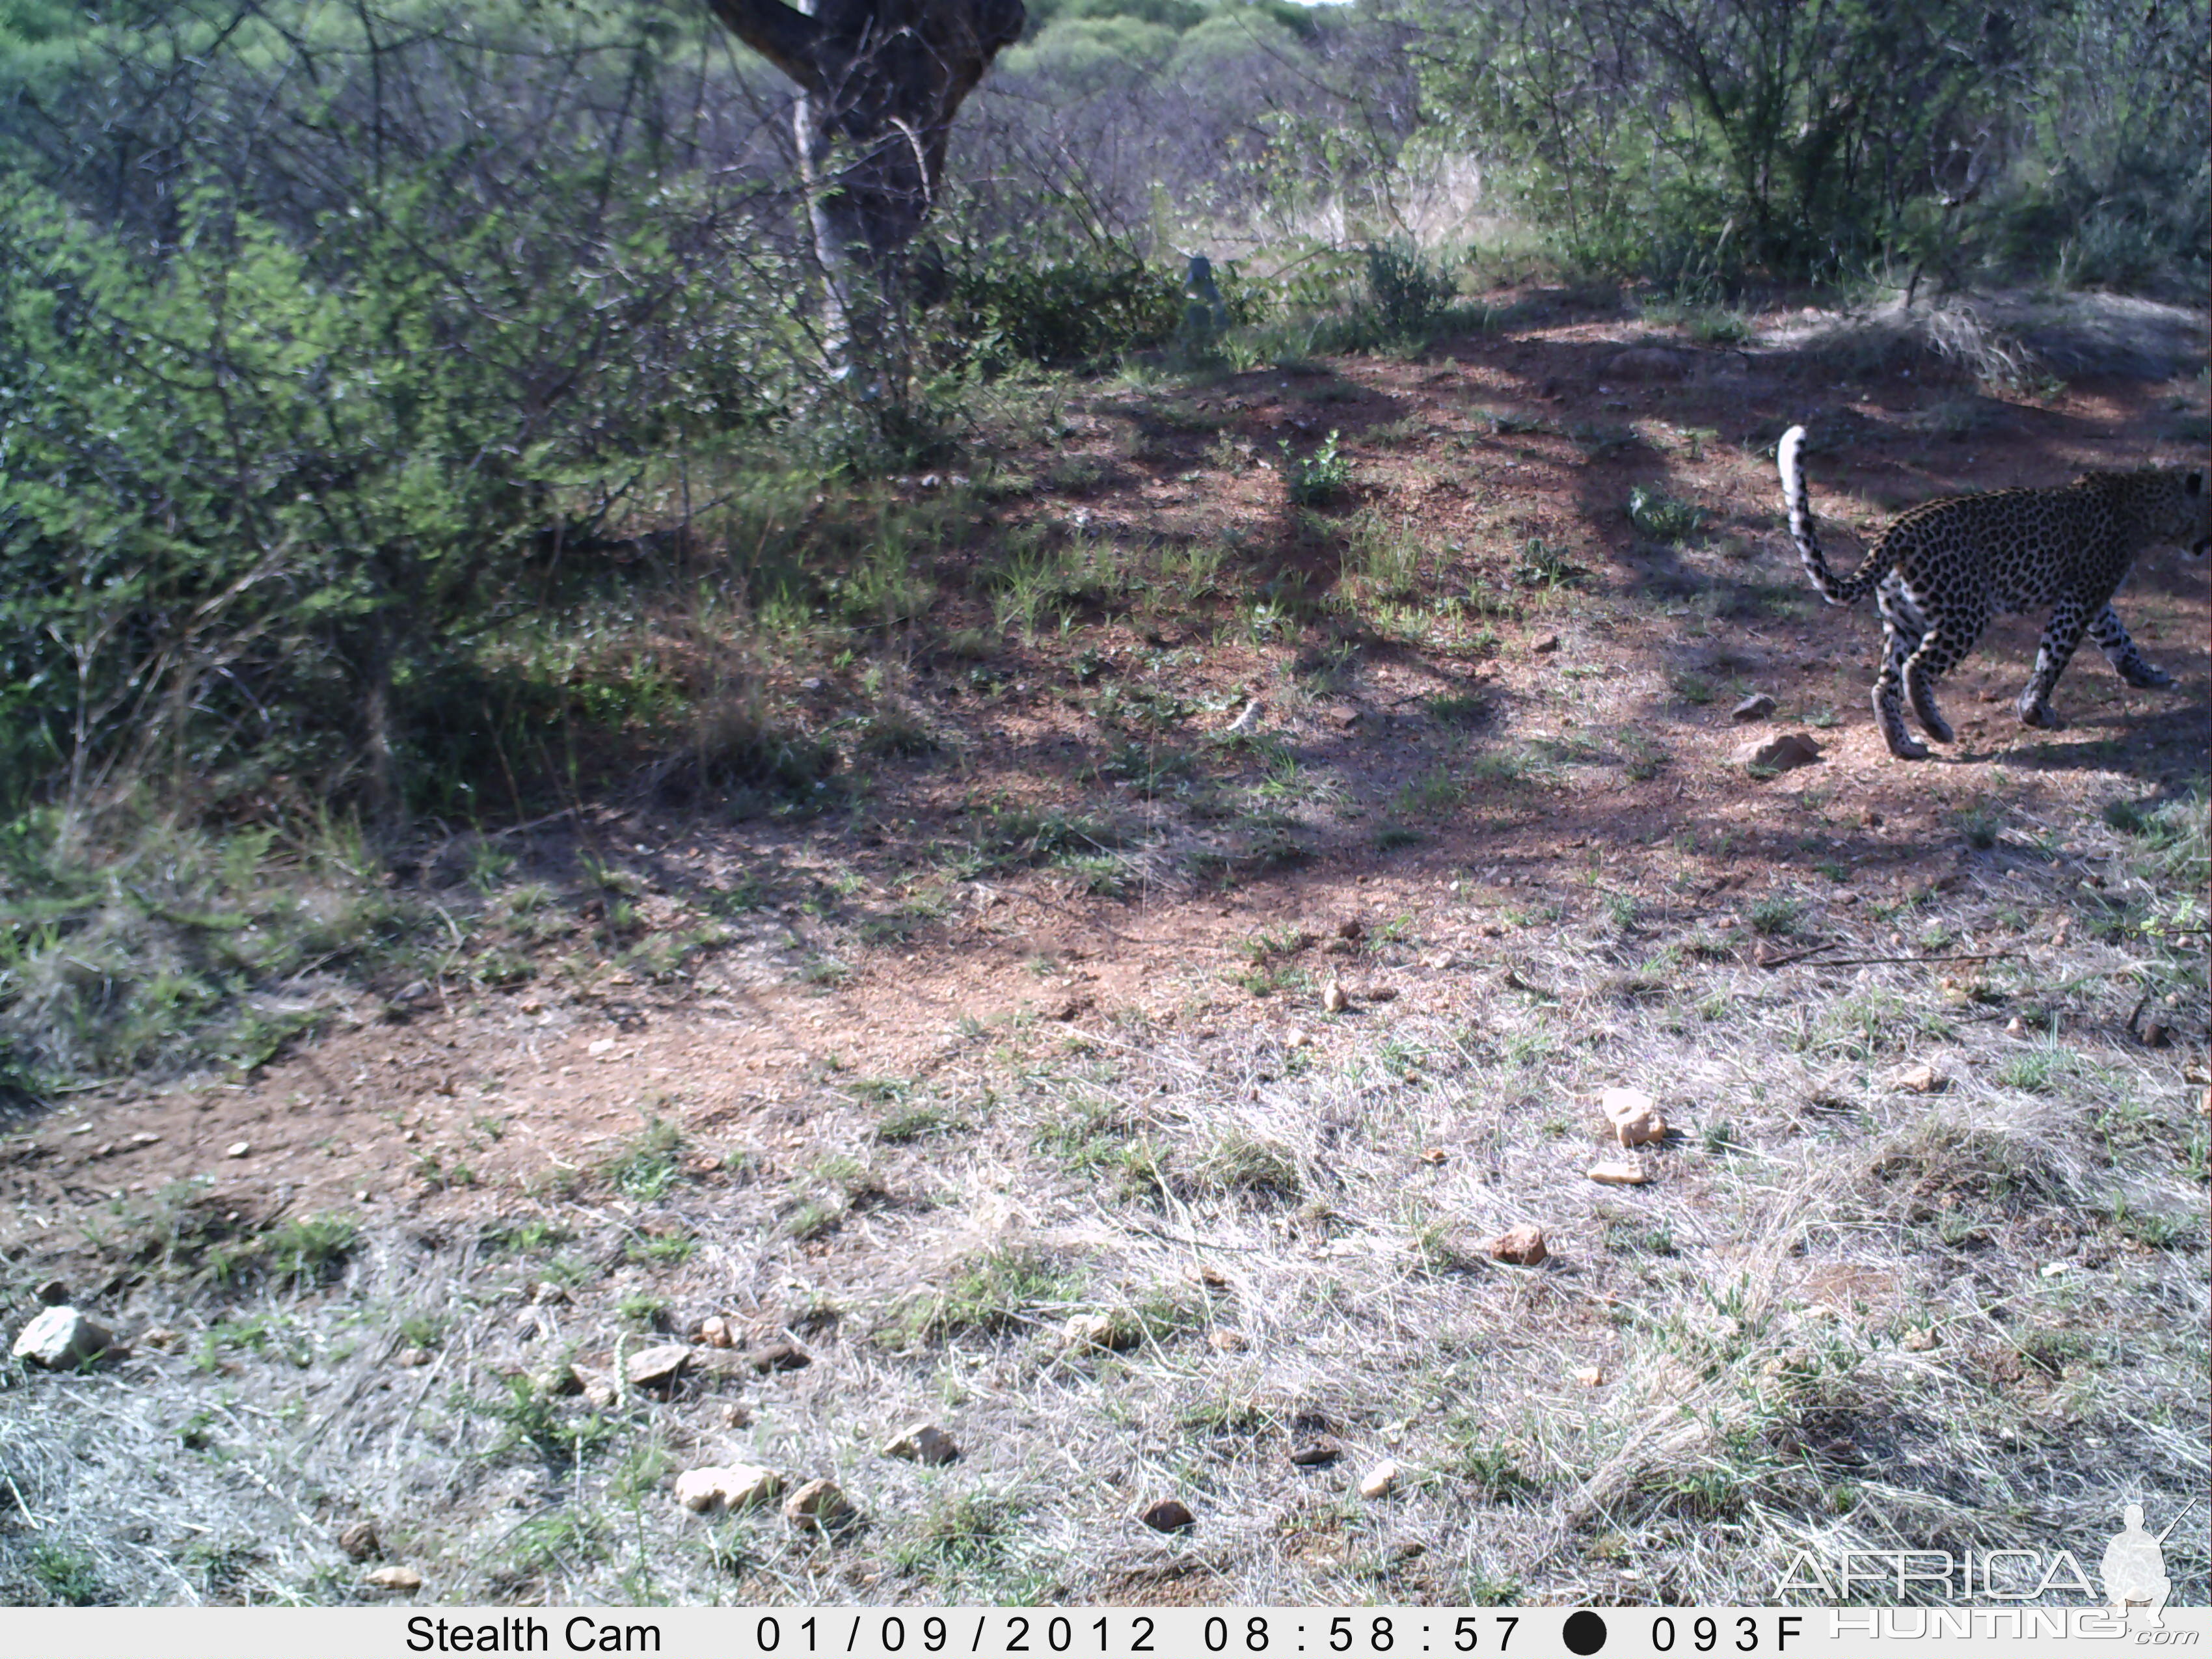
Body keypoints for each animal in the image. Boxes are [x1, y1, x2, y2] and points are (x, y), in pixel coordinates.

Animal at [1778, 429, 2212, 765]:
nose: (2208, 546)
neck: (2146, 505)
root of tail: (1898, 528)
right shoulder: (2080, 598)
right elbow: (2053, 657)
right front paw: (2035, 711)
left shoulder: (2094, 599)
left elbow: (2120, 639)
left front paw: (2145, 674)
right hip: (1966, 613)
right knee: (1916, 668)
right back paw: (1937, 728)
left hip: (1904, 620)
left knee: (1885, 685)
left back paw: (1905, 746)